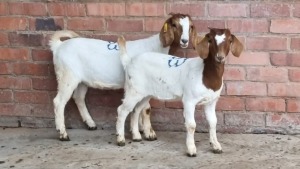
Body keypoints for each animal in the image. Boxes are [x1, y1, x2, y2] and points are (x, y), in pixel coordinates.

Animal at [48, 13, 197, 141]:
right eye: (174, 25)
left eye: (190, 26)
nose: (185, 41)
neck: (157, 47)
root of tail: (58, 46)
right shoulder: (144, 84)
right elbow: (146, 109)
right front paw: (149, 133)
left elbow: (139, 108)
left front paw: (138, 129)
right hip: (67, 76)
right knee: (58, 102)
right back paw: (63, 133)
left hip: (82, 80)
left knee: (78, 98)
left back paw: (90, 124)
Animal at [115, 27, 244, 156]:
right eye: (211, 40)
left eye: (229, 40)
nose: (220, 57)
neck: (205, 73)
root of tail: (129, 62)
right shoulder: (189, 100)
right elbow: (191, 125)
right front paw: (191, 149)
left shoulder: (211, 101)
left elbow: (213, 122)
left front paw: (216, 146)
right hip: (133, 90)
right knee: (122, 110)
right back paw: (120, 139)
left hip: (144, 93)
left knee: (136, 110)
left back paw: (136, 136)